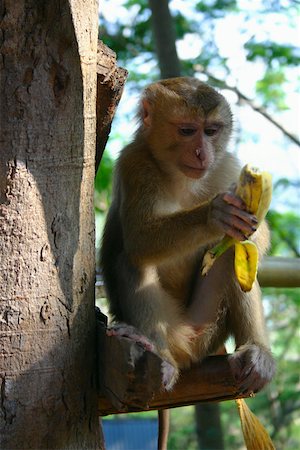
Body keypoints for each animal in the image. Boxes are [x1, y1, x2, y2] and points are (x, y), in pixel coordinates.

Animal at [100, 77, 274, 400]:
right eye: (187, 131)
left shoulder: (225, 165)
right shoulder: (135, 164)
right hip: (171, 327)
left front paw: (246, 226)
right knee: (132, 259)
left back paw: (256, 353)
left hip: (206, 327)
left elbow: (256, 237)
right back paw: (157, 352)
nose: (202, 153)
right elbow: (140, 240)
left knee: (233, 254)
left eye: (211, 131)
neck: (180, 178)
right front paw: (215, 215)